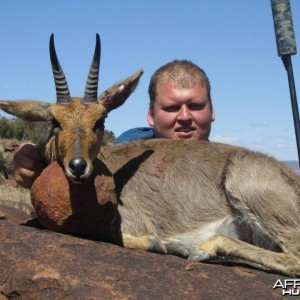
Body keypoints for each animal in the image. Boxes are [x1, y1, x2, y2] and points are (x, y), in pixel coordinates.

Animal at [0, 34, 300, 276]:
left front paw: (156, 243)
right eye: (54, 121)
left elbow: (111, 234)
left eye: (100, 120)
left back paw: (203, 249)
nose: (77, 166)